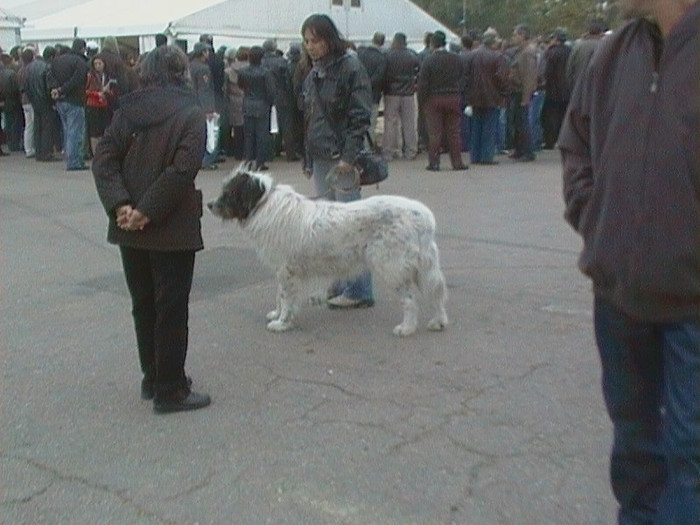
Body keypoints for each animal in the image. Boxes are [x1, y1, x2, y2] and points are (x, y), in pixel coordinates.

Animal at [208, 169, 448, 336]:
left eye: (228, 192)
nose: (209, 205)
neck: (262, 203)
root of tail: (424, 216)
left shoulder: (287, 270)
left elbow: (285, 297)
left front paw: (282, 322)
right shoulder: (283, 269)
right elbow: (279, 295)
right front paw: (277, 314)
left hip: (392, 266)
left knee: (410, 300)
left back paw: (406, 328)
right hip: (421, 266)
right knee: (436, 292)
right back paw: (439, 322)